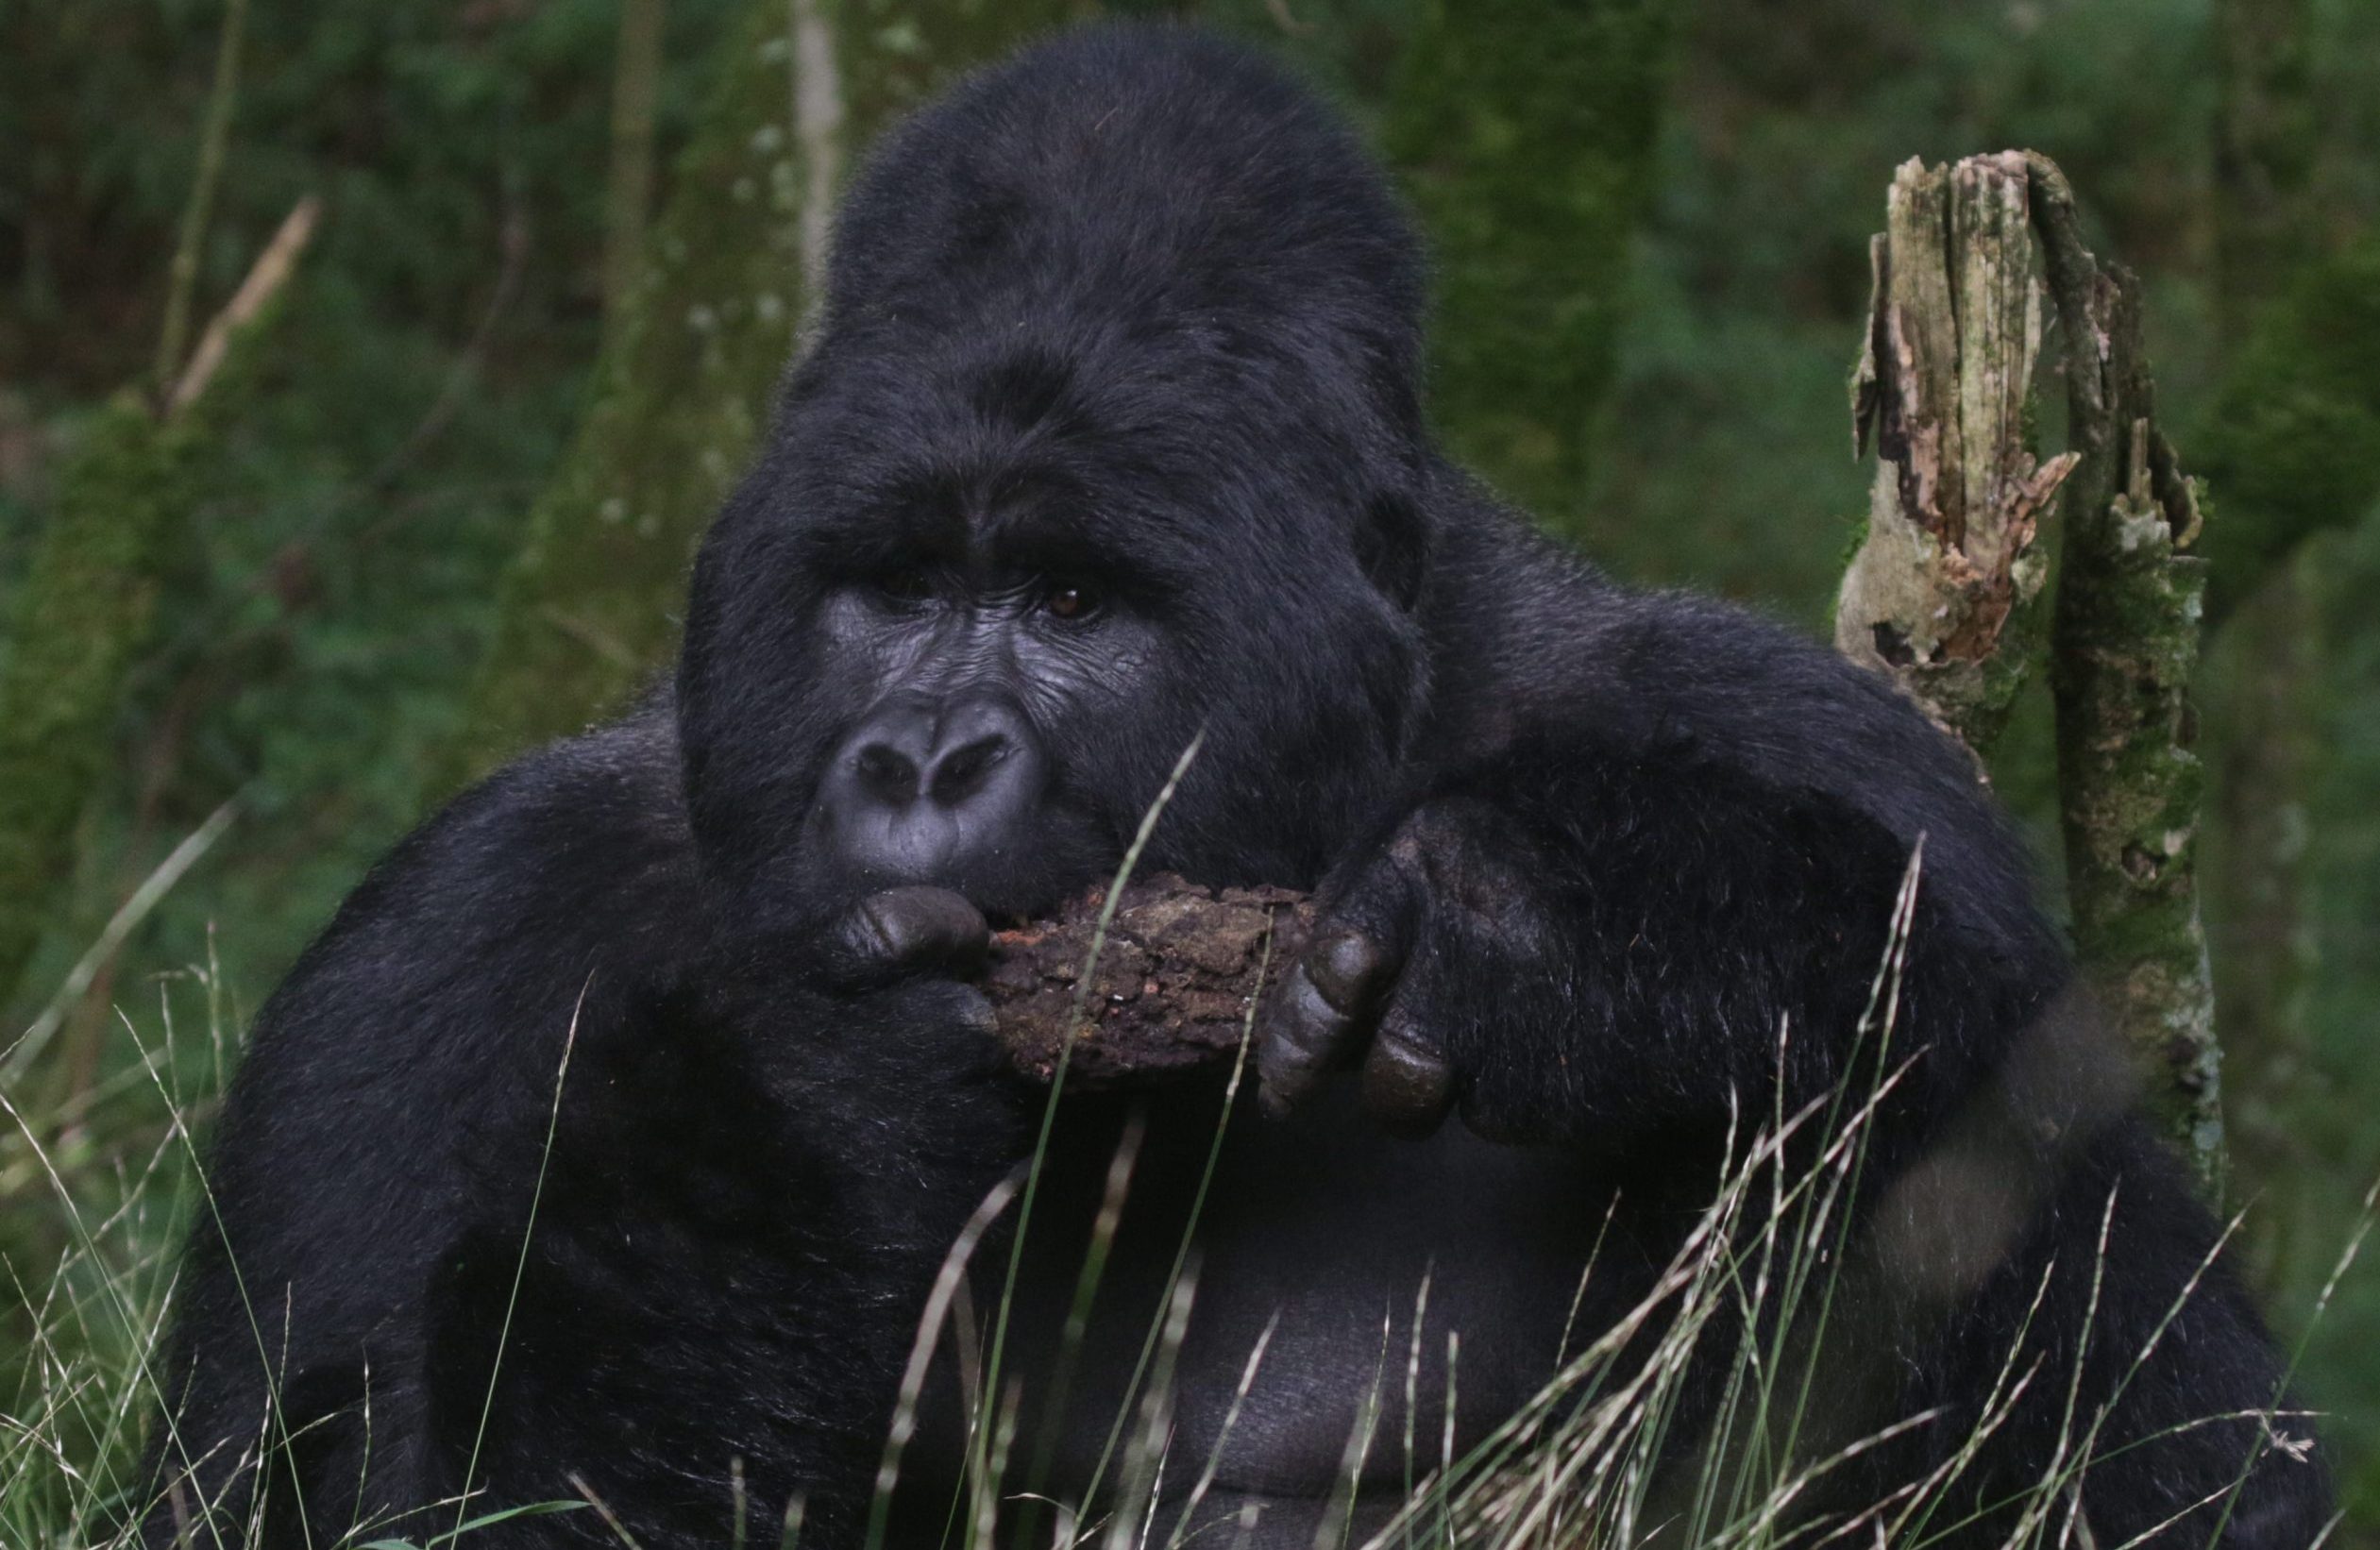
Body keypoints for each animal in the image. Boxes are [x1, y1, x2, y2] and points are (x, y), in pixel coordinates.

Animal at [143, 21, 2322, 1550]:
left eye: (1073, 600)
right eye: (894, 591)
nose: (924, 757)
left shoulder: (1844, 765)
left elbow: (2117, 1342)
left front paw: (1556, 926)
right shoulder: (458, 938)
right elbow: (361, 1476)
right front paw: (798, 1100)